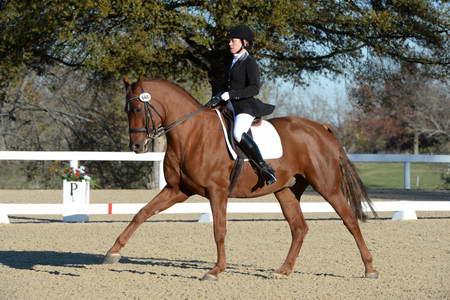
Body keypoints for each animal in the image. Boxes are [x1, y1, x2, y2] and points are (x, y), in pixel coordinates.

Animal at [103, 76, 380, 280]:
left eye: (137, 108)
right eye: (126, 109)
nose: (136, 146)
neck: (191, 135)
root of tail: (320, 128)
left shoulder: (217, 192)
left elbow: (219, 230)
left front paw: (215, 270)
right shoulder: (176, 190)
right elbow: (142, 213)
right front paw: (113, 252)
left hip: (327, 186)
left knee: (349, 220)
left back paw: (370, 269)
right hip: (286, 190)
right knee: (299, 227)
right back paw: (283, 270)